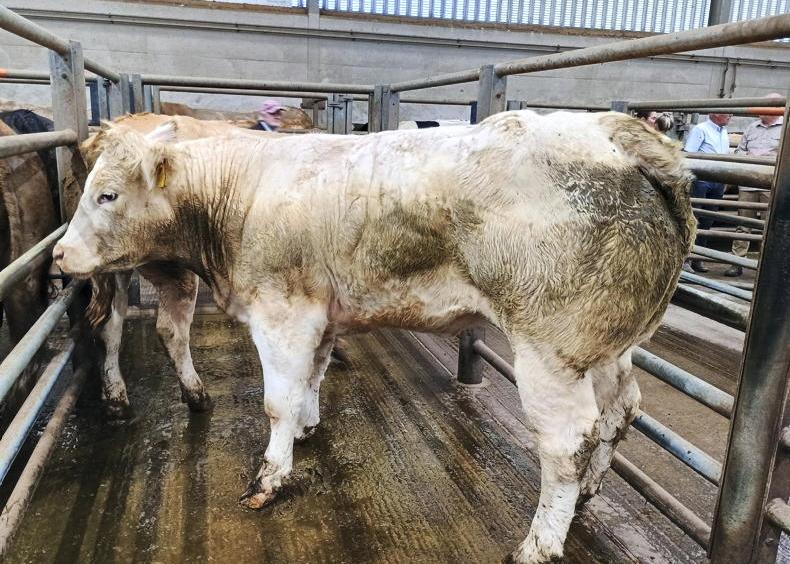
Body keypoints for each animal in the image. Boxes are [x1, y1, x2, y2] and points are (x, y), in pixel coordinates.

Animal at [53, 110, 694, 563]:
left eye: (107, 194)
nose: (59, 254)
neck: (240, 192)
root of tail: (616, 133)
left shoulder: (282, 314)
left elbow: (277, 400)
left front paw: (271, 475)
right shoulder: (318, 314)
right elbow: (310, 379)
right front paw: (307, 428)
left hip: (550, 352)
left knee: (565, 443)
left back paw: (539, 542)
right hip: (605, 345)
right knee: (621, 410)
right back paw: (589, 491)